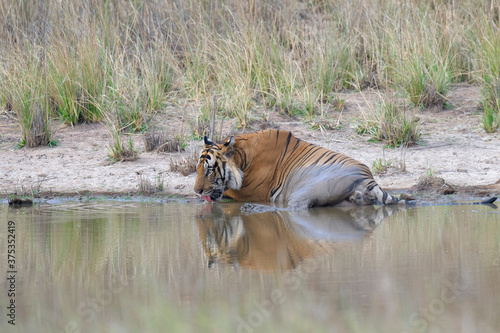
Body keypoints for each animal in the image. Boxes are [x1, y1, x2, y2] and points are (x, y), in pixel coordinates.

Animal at [193, 128, 404, 209]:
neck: (242, 157)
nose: (196, 191)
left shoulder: (249, 191)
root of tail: (368, 176)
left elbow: (228, 191)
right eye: (197, 169)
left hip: (303, 192)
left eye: (210, 170)